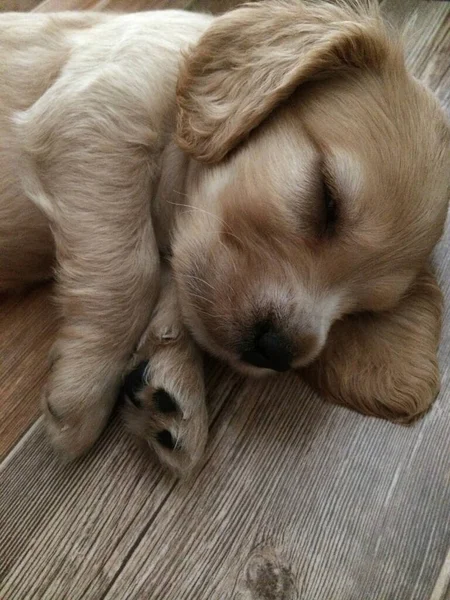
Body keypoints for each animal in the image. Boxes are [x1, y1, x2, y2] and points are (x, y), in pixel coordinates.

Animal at [0, 2, 448, 476]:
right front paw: (87, 379)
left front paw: (173, 379)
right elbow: (131, 271)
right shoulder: (96, 112)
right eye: (327, 199)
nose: (276, 352)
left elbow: (175, 284)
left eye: (359, 311)